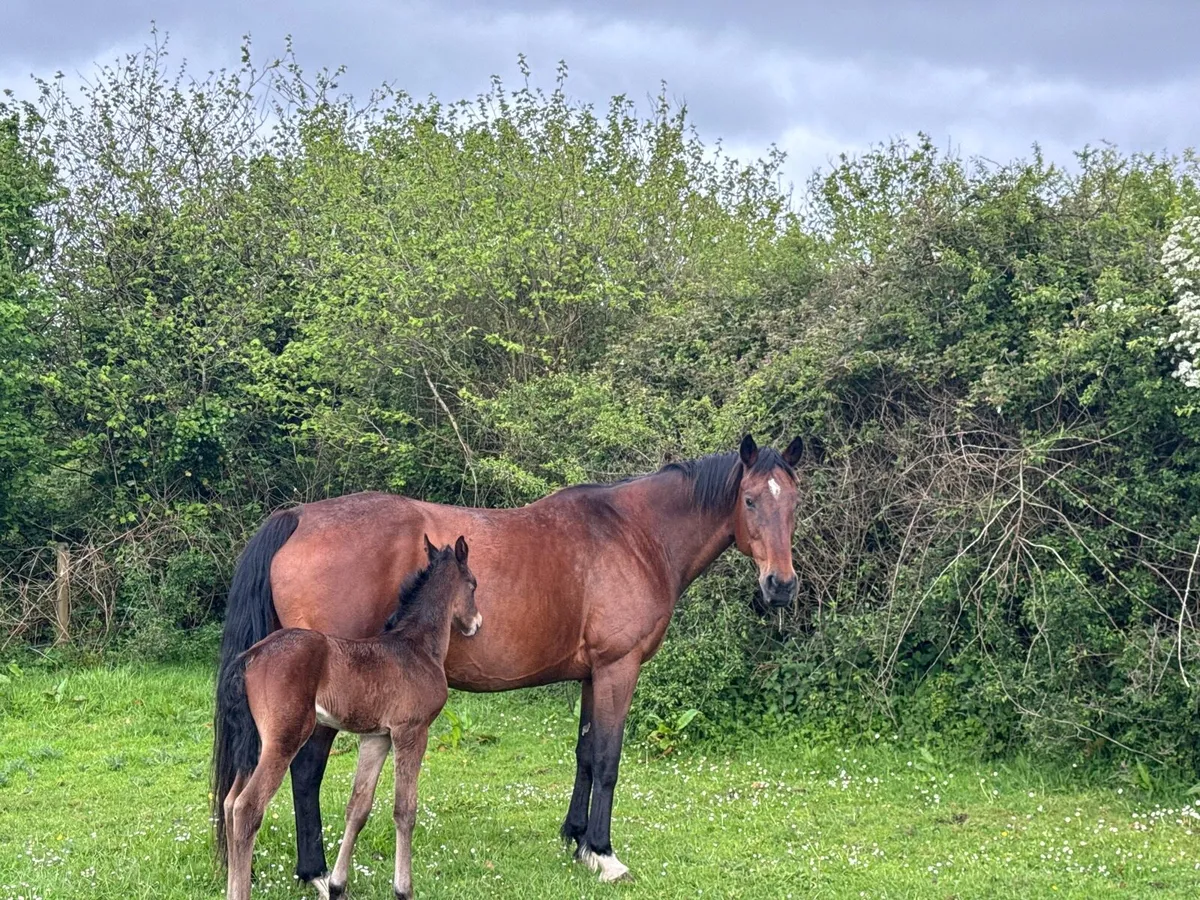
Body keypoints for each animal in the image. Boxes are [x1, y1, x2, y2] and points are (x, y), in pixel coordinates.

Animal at [214, 536, 480, 900]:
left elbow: (358, 806)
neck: (416, 647)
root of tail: (251, 655)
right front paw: (403, 888)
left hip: (254, 741)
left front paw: (338, 885)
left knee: (229, 803)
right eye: (474, 584)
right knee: (246, 807)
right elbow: (405, 809)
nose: (476, 623)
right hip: (283, 739)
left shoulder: (376, 736)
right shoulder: (411, 731)